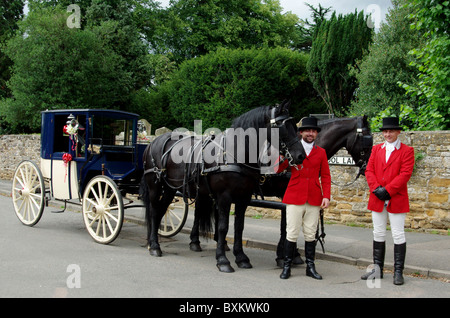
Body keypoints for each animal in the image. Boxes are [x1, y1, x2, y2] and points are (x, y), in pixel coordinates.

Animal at [142, 100, 306, 272]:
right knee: (154, 211)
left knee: (161, 211)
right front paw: (222, 260)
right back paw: (154, 245)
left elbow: (239, 227)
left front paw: (241, 257)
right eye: (281, 125)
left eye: (295, 125)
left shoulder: (243, 198)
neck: (235, 153)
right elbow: (223, 227)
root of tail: (152, 143)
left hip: (170, 189)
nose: (300, 155)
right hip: (155, 187)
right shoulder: (224, 197)